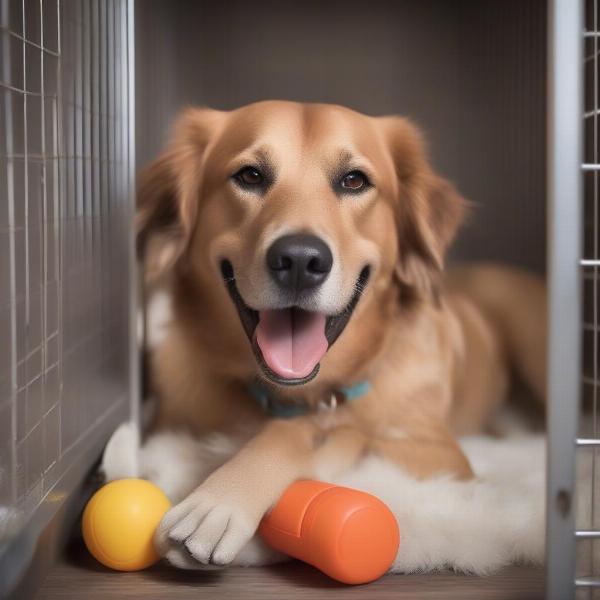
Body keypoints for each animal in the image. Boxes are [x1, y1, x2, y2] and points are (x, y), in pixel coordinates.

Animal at [137, 101, 548, 568]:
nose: (300, 260)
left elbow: (316, 432)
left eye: (354, 181)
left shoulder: (444, 456)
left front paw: (219, 502)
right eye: (250, 175)